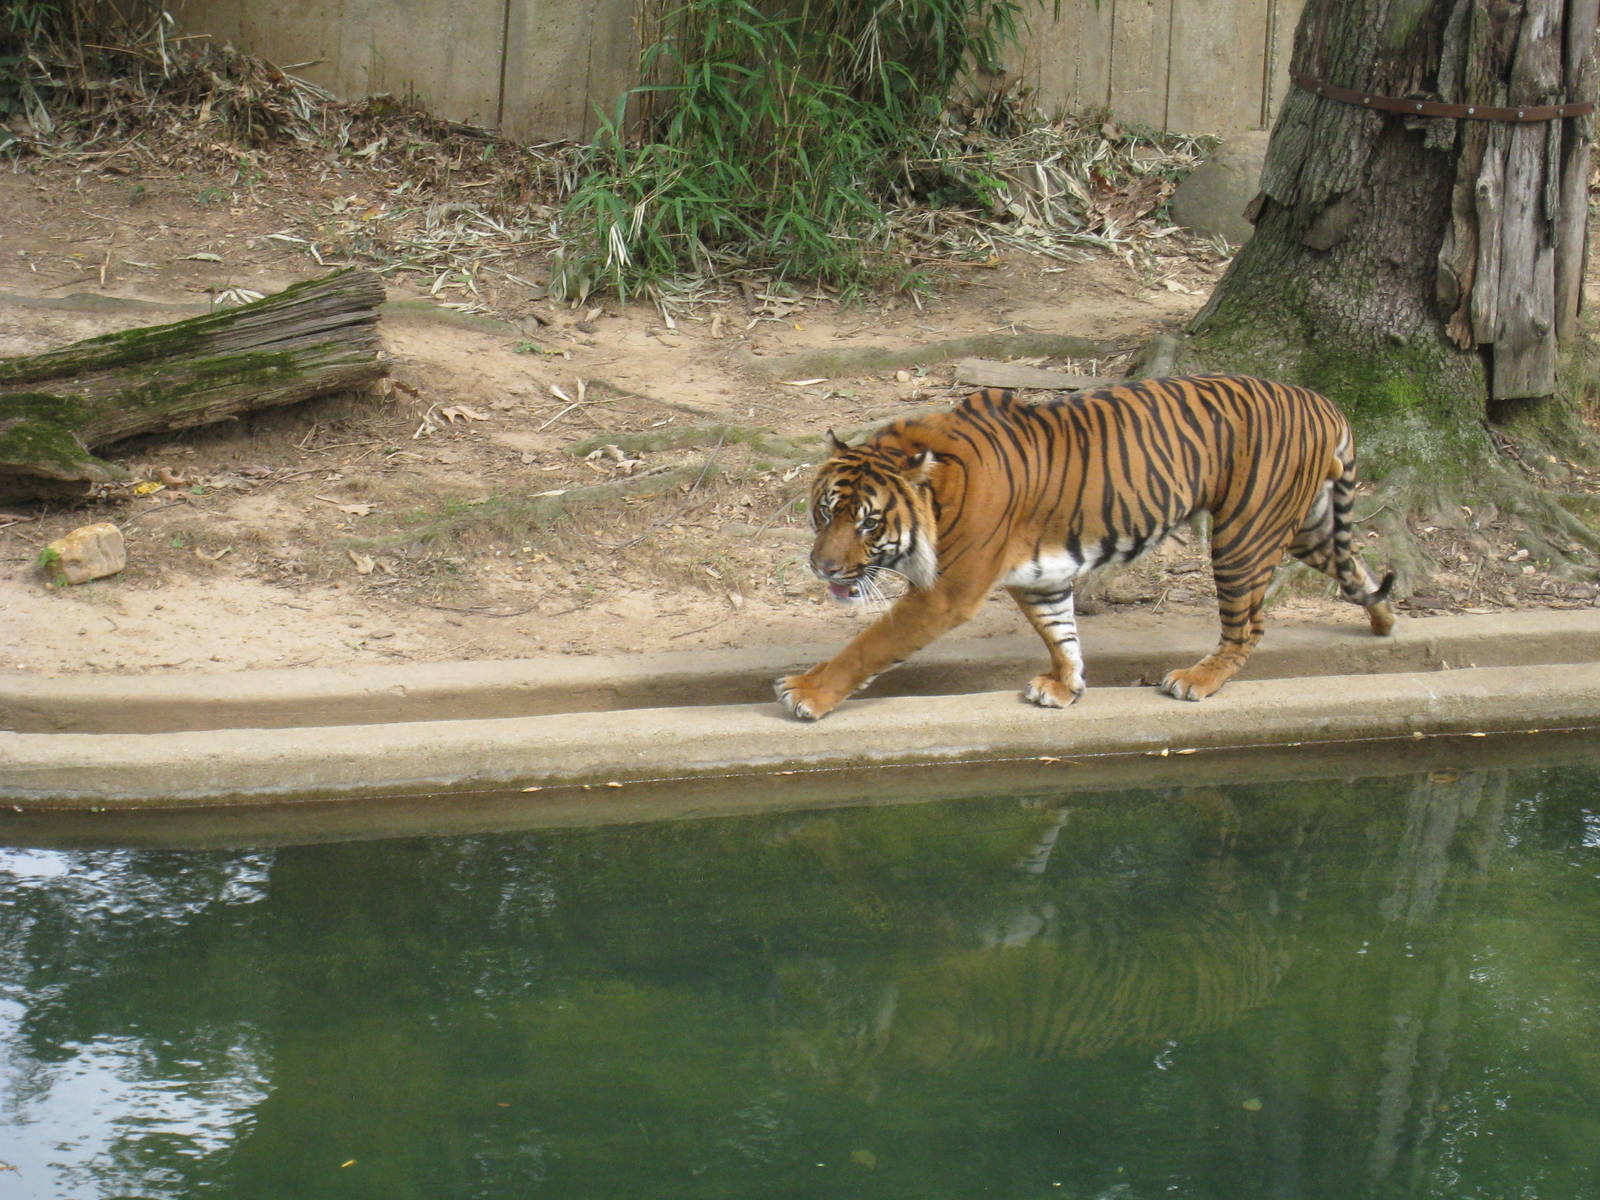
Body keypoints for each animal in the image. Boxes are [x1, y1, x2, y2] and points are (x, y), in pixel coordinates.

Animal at [775, 374, 1394, 721]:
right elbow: (1060, 632)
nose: (820, 567)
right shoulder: (1040, 576)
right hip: (1307, 525)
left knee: (1249, 626)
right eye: (825, 512)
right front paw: (1066, 686)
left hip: (1243, 533)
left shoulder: (946, 592)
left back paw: (1196, 681)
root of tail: (1323, 401)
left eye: (868, 524)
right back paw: (1385, 622)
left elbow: (870, 646)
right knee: (1359, 570)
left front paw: (805, 692)